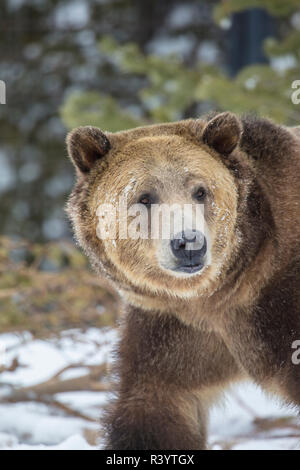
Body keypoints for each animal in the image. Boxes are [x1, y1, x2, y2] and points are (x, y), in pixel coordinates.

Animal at [66, 112, 300, 450]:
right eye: (145, 197)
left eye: (200, 191)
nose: (189, 243)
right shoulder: (175, 330)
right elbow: (155, 409)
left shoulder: (276, 300)